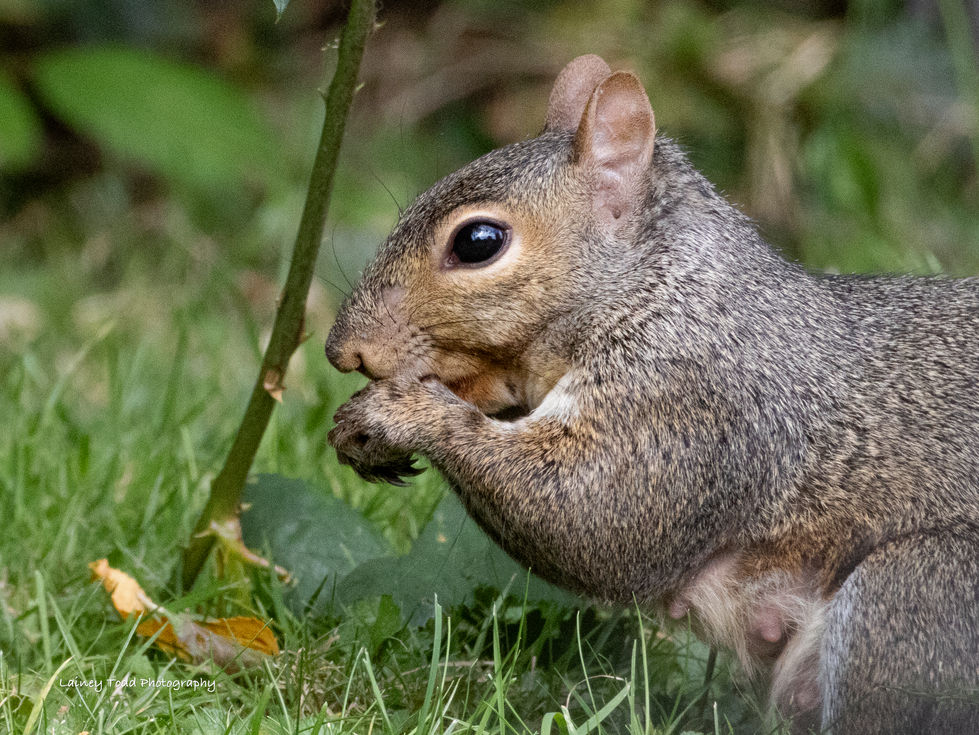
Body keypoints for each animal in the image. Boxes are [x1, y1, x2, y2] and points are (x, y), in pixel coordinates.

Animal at [324, 55, 979, 733]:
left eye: (478, 241)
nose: (344, 350)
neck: (657, 291)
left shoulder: (694, 400)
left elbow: (591, 514)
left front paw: (399, 414)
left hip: (913, 599)